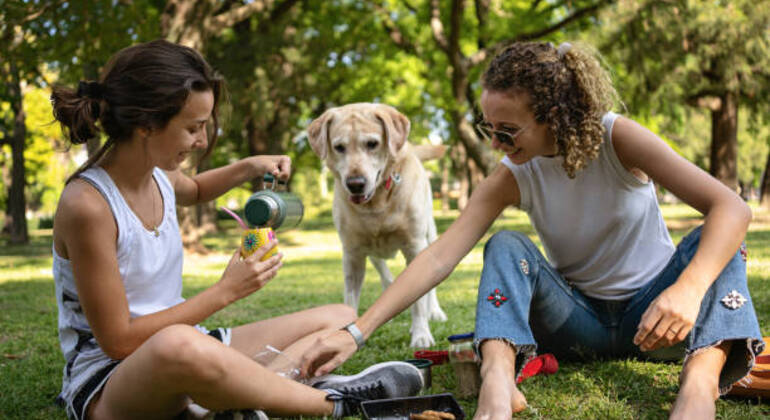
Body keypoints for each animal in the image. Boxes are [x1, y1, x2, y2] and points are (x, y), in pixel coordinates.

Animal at [308, 103, 444, 346]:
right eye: (339, 147)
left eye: (372, 144)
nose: (355, 184)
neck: (376, 203)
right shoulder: (352, 254)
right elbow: (350, 298)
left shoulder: (414, 246)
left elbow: (419, 300)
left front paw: (421, 333)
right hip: (372, 252)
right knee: (386, 275)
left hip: (429, 235)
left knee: (430, 288)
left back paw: (434, 311)